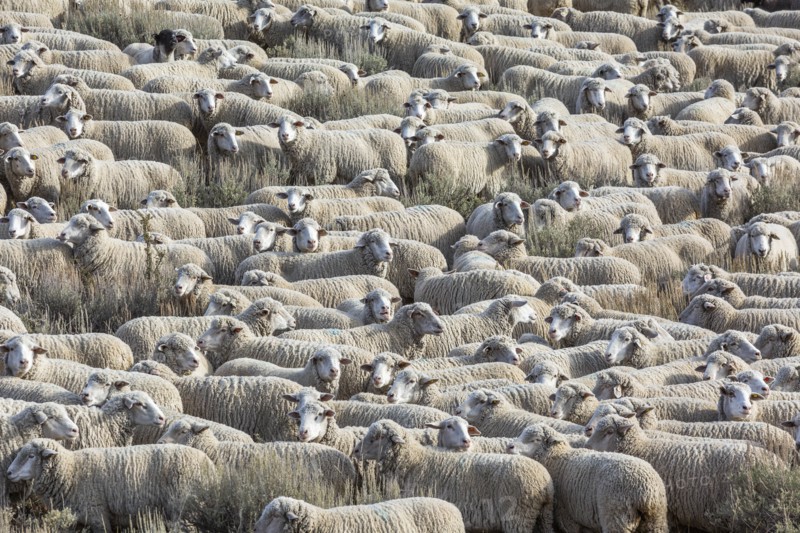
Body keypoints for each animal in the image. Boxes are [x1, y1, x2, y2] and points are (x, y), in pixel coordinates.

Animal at [6, 438, 217, 532]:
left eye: (31, 456)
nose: (8, 473)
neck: (71, 471)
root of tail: (211, 465)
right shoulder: (77, 519)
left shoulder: (98, 514)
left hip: (182, 508)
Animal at [269, 115, 407, 186]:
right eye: (279, 125)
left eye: (294, 124)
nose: (285, 135)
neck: (310, 142)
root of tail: (397, 136)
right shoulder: (308, 175)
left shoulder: (324, 174)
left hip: (396, 169)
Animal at [354, 419, 555, 533]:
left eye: (377, 437)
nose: (355, 450)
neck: (413, 460)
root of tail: (546, 482)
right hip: (544, 516)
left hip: (518, 517)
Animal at [508, 424, 669, 533]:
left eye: (535, 439)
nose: (510, 446)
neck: (556, 458)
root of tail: (646, 491)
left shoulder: (568, 516)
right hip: (656, 520)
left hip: (617, 517)